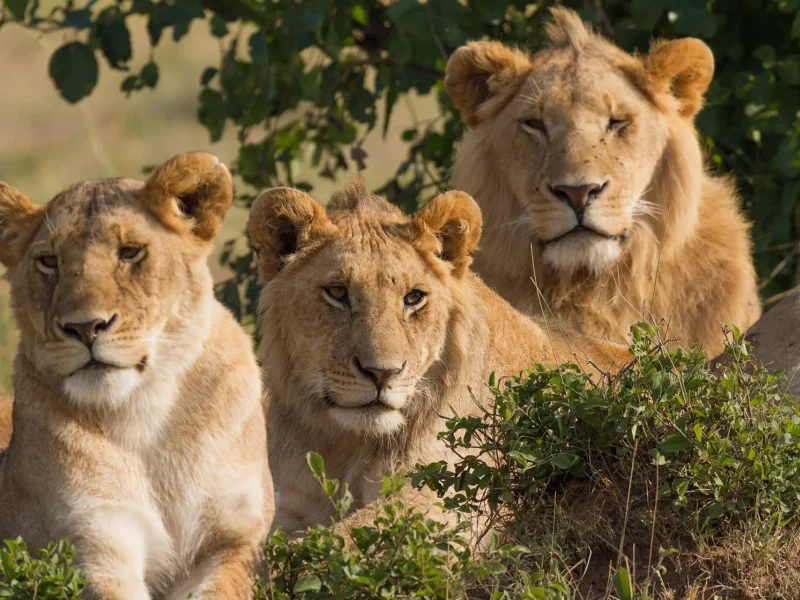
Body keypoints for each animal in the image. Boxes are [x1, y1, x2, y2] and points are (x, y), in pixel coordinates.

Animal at [0, 153, 273, 600]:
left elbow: (220, 586)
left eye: (129, 252)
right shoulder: (93, 541)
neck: (146, 414)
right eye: (49, 262)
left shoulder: (236, 538)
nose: (84, 328)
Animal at [246, 180, 630, 537]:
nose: (382, 374)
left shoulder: (451, 495)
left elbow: (343, 539)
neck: (347, 445)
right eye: (337, 292)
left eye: (413, 297)